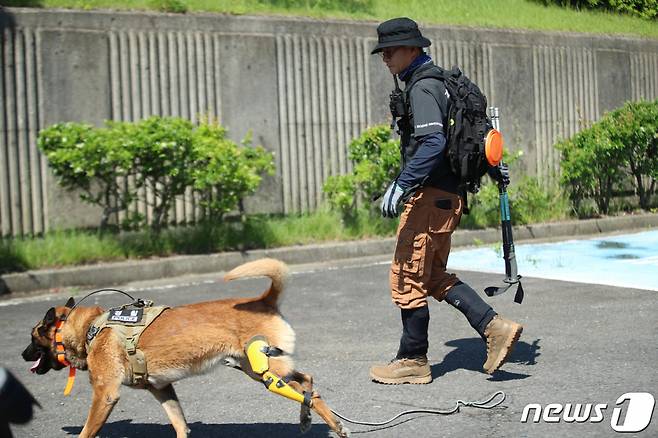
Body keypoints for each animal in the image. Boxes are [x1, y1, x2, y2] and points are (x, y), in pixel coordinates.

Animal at [20, 258, 348, 436]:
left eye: (33, 337)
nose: (22, 355)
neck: (90, 327)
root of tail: (263, 300)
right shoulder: (162, 389)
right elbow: (179, 423)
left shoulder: (105, 394)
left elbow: (87, 430)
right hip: (257, 369)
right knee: (307, 383)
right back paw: (311, 419)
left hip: (268, 371)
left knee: (309, 389)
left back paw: (332, 424)